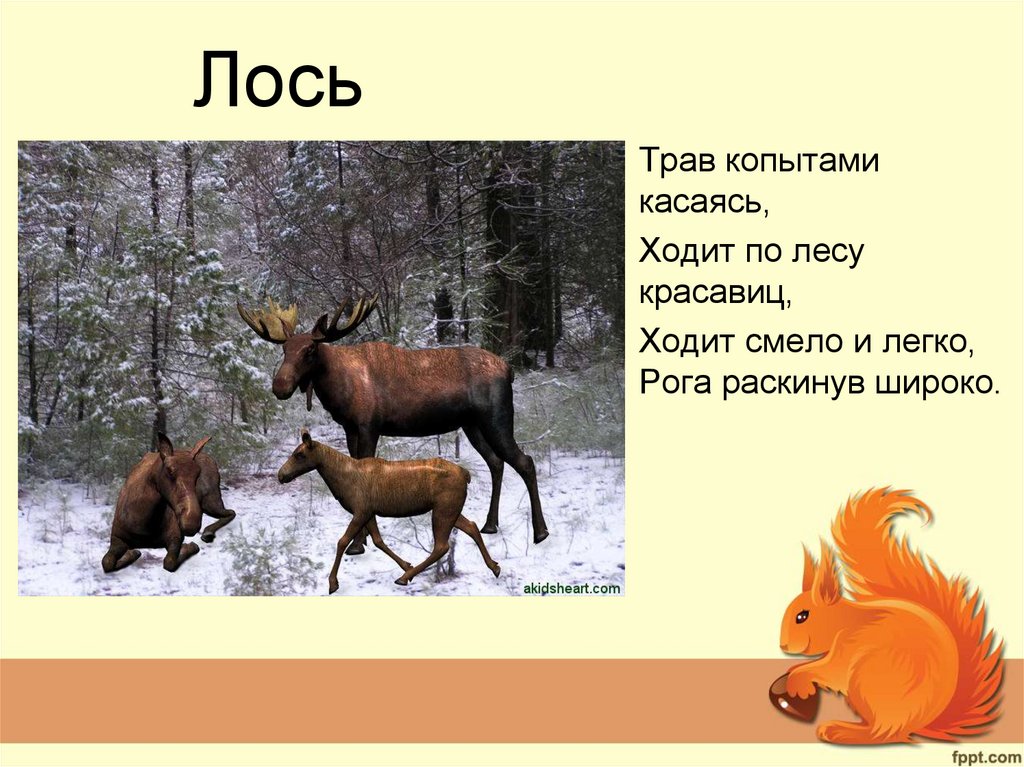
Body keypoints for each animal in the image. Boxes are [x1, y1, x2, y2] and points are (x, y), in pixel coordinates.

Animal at [101, 433, 236, 574]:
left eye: (198, 473)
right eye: (170, 471)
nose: (191, 524)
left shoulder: (175, 537)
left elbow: (170, 562)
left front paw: (189, 546)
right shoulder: (117, 538)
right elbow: (107, 562)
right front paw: (132, 553)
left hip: (210, 502)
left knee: (231, 512)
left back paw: (208, 532)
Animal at [238, 295, 548, 555]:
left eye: (311, 349)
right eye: (284, 349)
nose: (280, 386)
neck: (339, 390)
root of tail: (509, 370)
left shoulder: (369, 426)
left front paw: (357, 544)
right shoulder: (350, 428)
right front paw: (361, 540)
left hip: (496, 417)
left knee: (525, 461)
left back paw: (541, 532)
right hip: (471, 424)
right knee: (496, 462)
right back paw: (490, 524)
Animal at [277, 429, 501, 592]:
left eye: (299, 454)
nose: (281, 475)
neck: (341, 481)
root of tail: (466, 474)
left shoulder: (361, 510)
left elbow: (342, 542)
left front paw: (333, 583)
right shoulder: (369, 512)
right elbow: (378, 540)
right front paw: (406, 564)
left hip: (443, 511)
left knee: (442, 546)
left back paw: (404, 578)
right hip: (450, 510)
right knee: (471, 527)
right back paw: (495, 566)